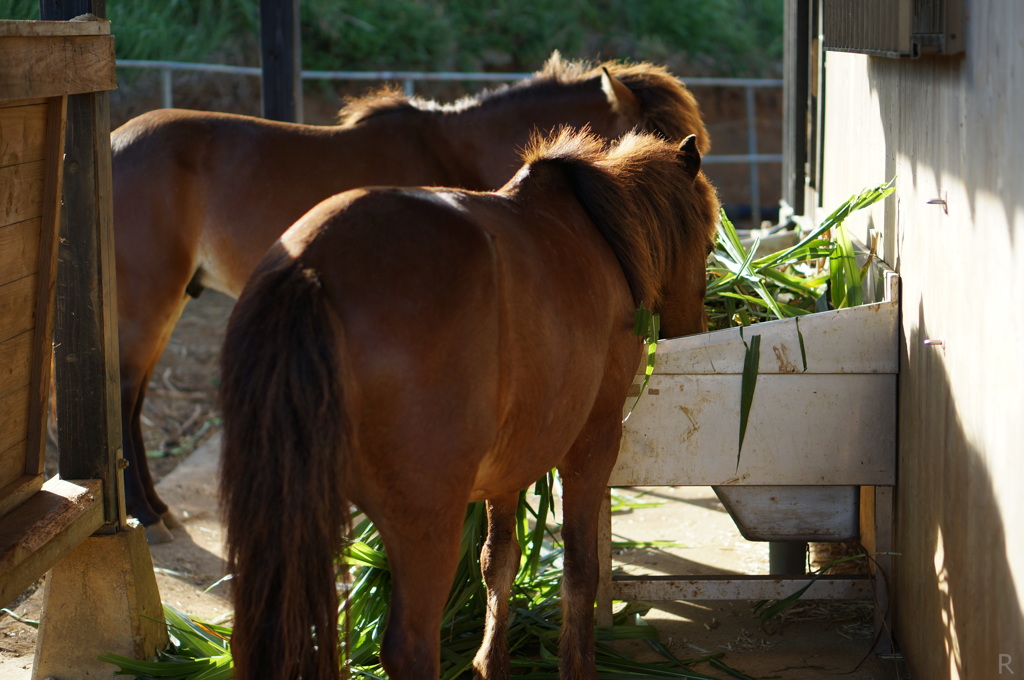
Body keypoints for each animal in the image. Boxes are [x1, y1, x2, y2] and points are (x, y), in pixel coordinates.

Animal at [108, 53, 708, 540]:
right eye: (653, 139)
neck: (453, 151)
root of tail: (111, 146)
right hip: (149, 301)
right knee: (125, 392)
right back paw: (145, 513)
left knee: (133, 400)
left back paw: (156, 508)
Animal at [220, 129, 720, 680]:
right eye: (710, 243)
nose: (696, 328)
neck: (596, 229)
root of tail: (309, 266)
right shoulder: (594, 443)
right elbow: (579, 569)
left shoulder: (507, 466)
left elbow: (497, 560)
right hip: (425, 524)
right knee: (410, 647)